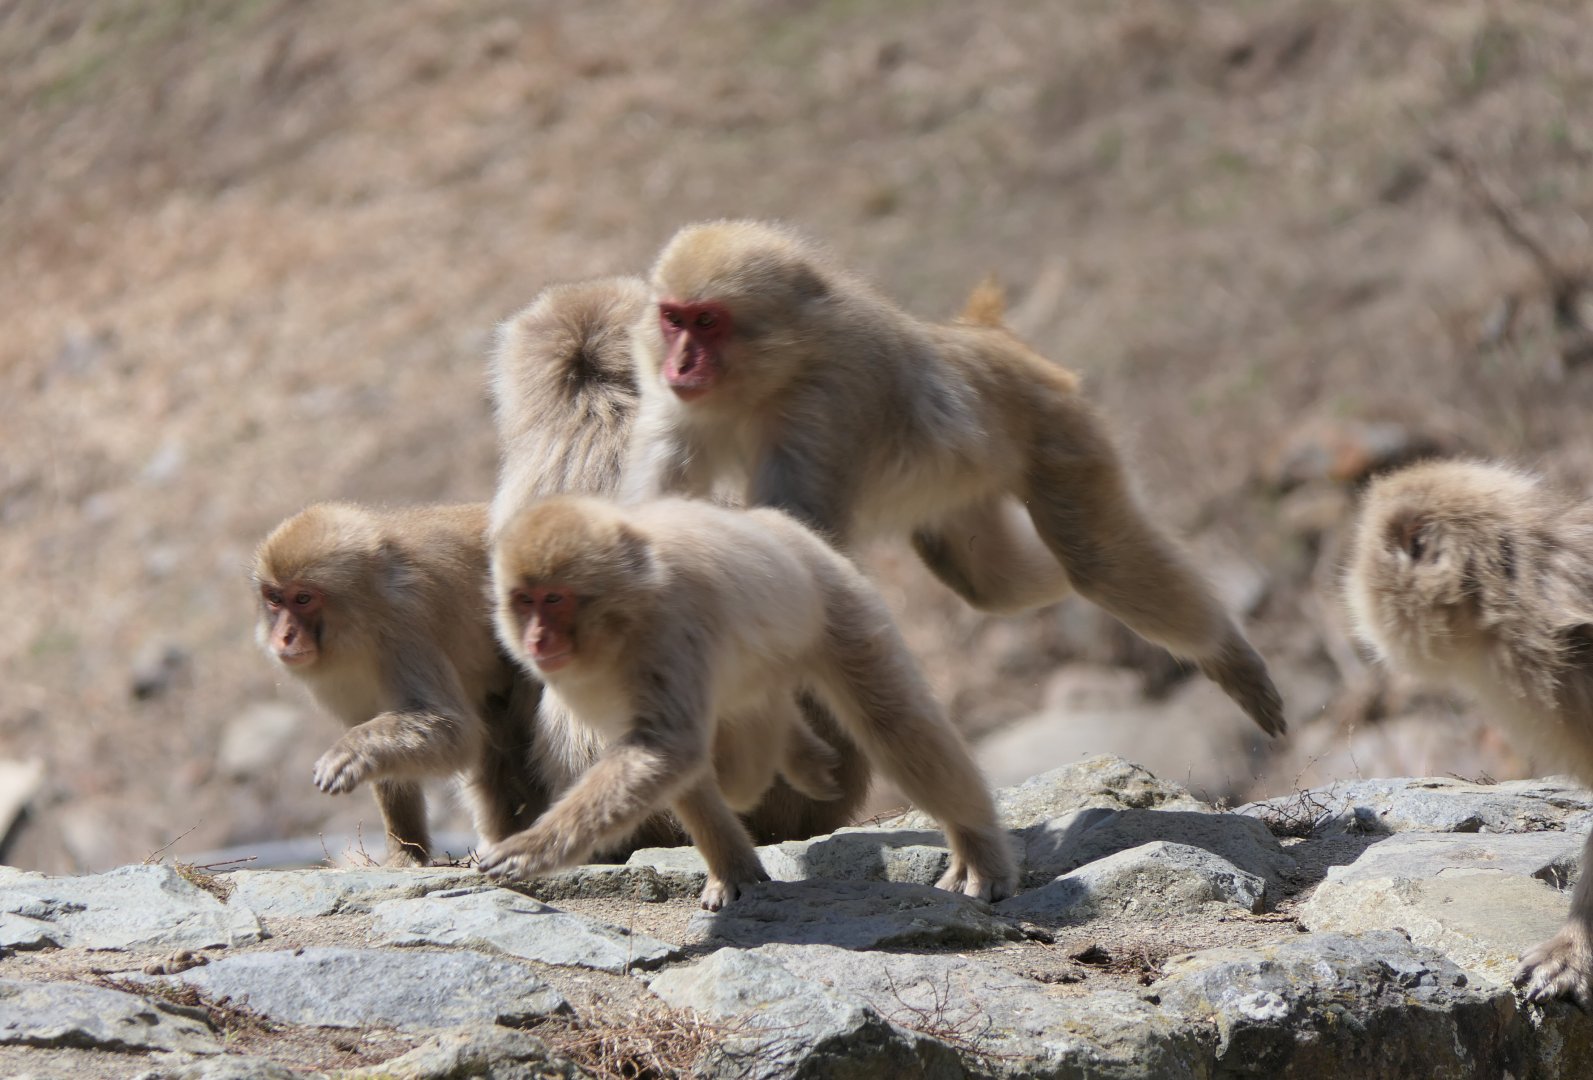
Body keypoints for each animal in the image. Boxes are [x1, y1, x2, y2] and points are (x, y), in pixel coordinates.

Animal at [252, 501, 551, 866]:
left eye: (304, 599)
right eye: (275, 598)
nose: (283, 636)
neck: (364, 618)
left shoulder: (405, 627)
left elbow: (453, 729)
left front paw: (354, 750)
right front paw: (406, 851)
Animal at [477, 495, 1017, 910]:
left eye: (554, 599)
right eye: (524, 600)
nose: (537, 641)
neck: (626, 613)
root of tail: (773, 521)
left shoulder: (670, 635)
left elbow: (666, 751)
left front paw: (533, 848)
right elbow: (675, 763)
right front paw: (734, 872)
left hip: (831, 599)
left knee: (891, 722)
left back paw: (980, 853)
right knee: (744, 744)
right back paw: (799, 750)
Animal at [621, 220, 1286, 739]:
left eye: (708, 322)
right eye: (673, 319)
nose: (680, 363)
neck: (770, 377)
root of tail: (994, 340)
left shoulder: (822, 406)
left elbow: (798, 535)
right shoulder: (678, 410)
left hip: (1063, 438)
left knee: (1096, 560)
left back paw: (1224, 650)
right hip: (963, 494)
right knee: (991, 581)